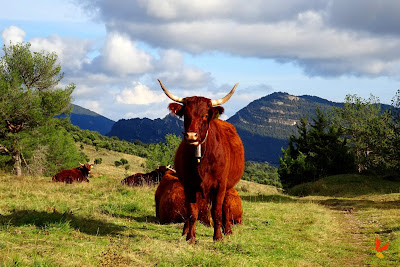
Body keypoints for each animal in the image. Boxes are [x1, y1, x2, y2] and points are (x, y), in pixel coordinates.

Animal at [158, 79, 245, 243]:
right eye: (185, 114)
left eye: (205, 115)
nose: (191, 136)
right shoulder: (190, 185)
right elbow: (192, 212)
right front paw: (190, 237)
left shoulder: (220, 185)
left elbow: (217, 211)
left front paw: (218, 237)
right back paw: (185, 231)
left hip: (228, 187)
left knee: (225, 207)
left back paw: (227, 230)